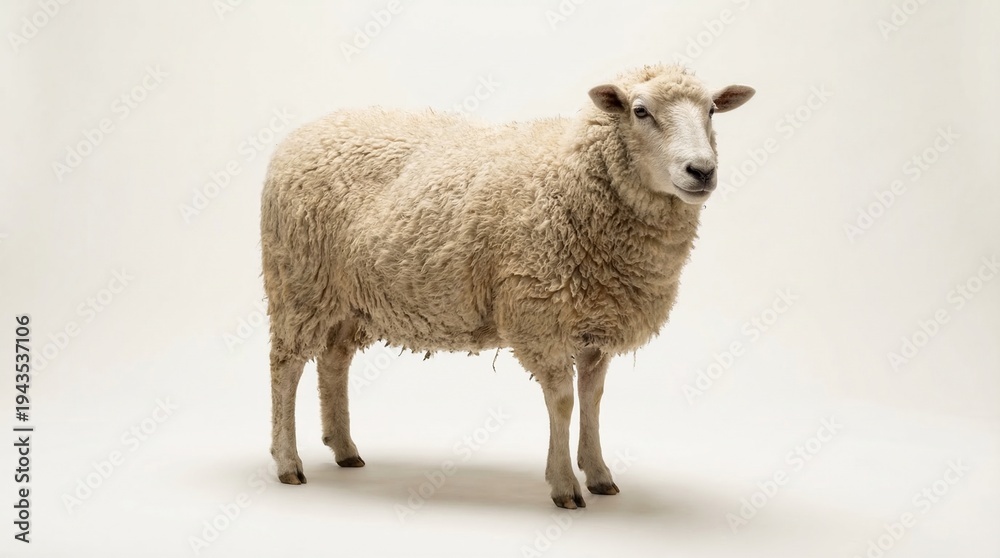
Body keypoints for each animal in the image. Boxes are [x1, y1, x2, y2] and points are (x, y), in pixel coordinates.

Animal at [260, 64, 754, 509]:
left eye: (712, 110)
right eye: (640, 111)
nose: (701, 171)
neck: (573, 180)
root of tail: (301, 134)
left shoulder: (595, 324)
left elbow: (592, 400)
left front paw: (598, 473)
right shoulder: (540, 316)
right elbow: (562, 402)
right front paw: (564, 485)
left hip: (345, 298)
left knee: (333, 361)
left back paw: (345, 449)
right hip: (298, 284)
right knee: (286, 366)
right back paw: (287, 462)